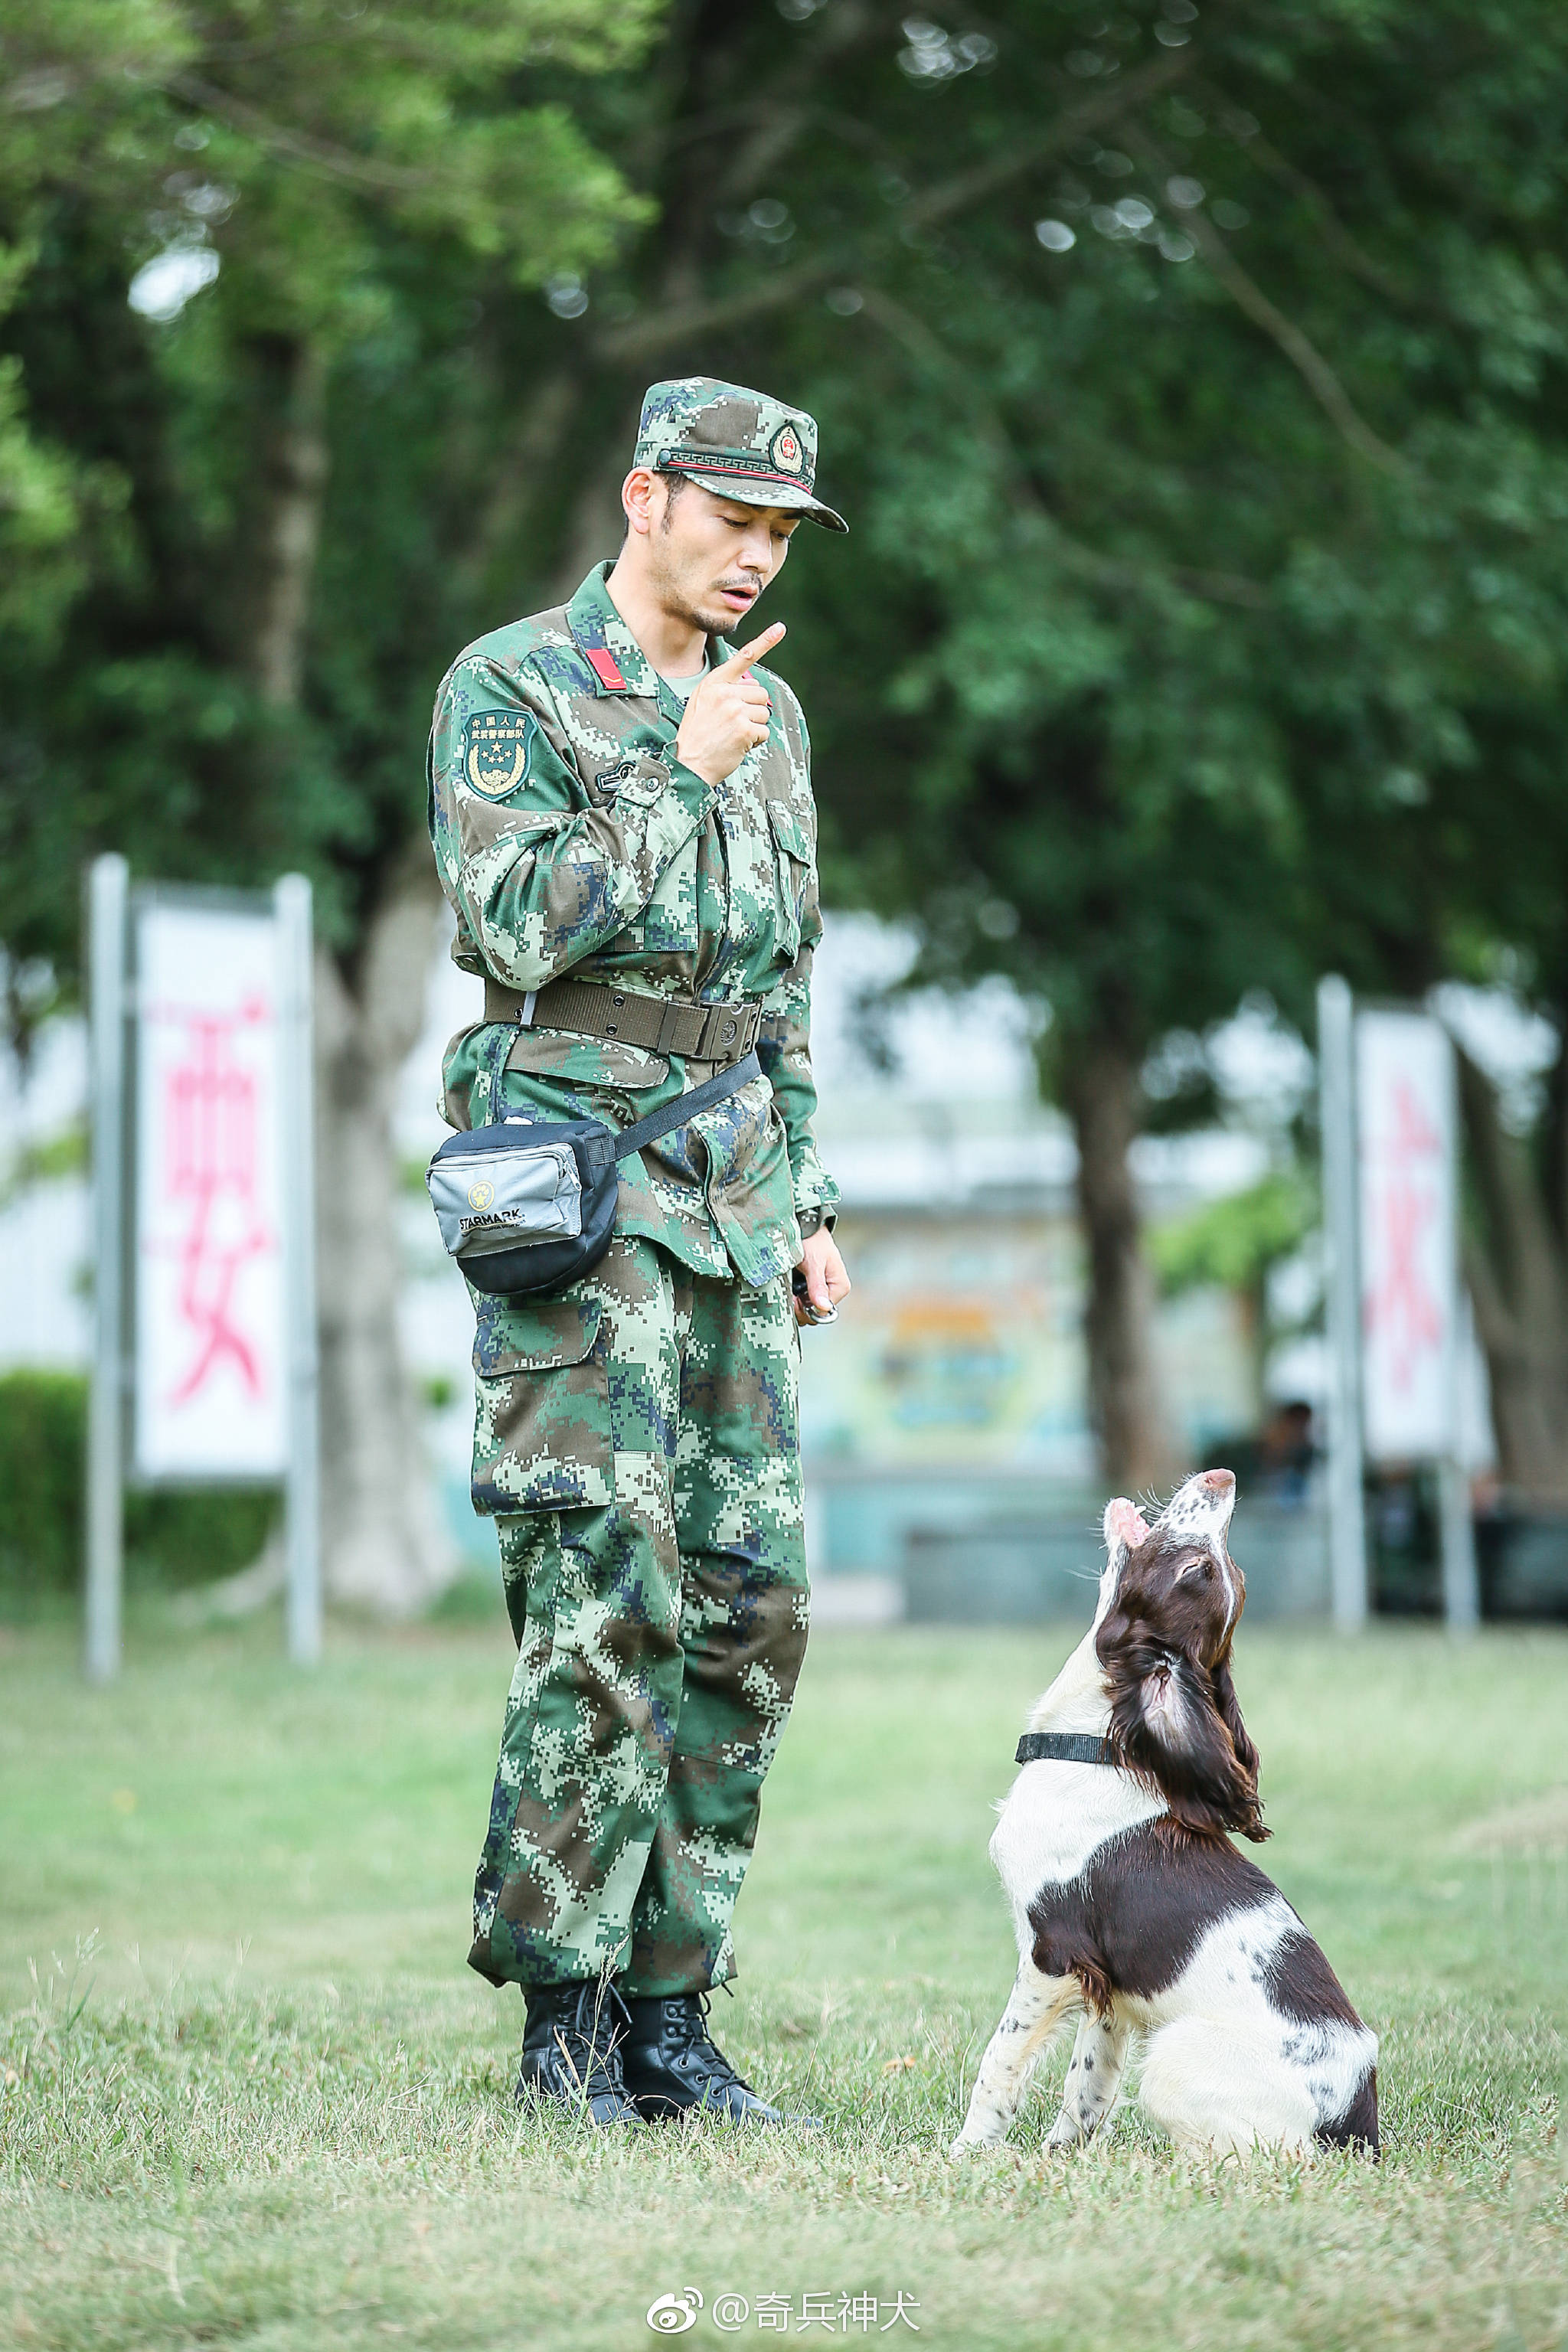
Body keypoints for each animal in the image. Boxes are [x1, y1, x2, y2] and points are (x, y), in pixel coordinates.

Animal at [949, 1467, 1382, 2164]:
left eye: (1195, 1569)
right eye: (1217, 1570)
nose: (1223, 1475)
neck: (1094, 1748)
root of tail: (1354, 2132)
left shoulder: (1054, 1954)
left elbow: (1000, 2060)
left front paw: (968, 2150)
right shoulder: (1108, 1984)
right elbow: (1088, 2082)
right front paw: (1062, 2158)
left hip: (1174, 2055)